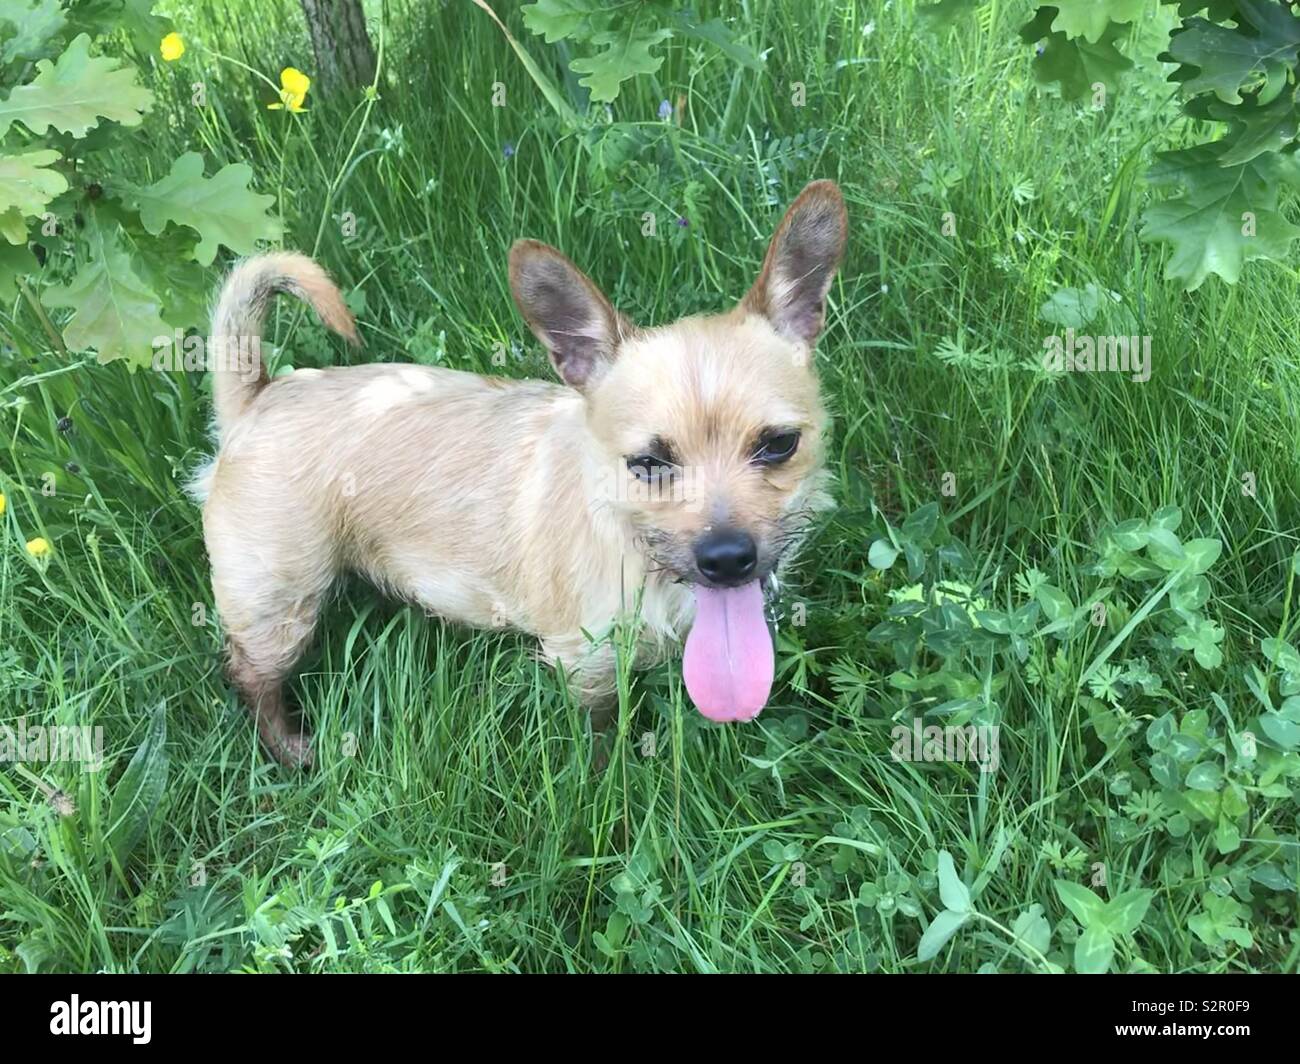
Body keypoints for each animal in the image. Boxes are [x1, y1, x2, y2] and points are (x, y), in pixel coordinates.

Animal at [188, 180, 847, 764]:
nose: (727, 558)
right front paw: (608, 779)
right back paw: (288, 750)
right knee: (250, 678)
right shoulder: (585, 663)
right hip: (279, 602)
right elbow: (599, 731)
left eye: (780, 445)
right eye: (647, 464)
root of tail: (258, 397)